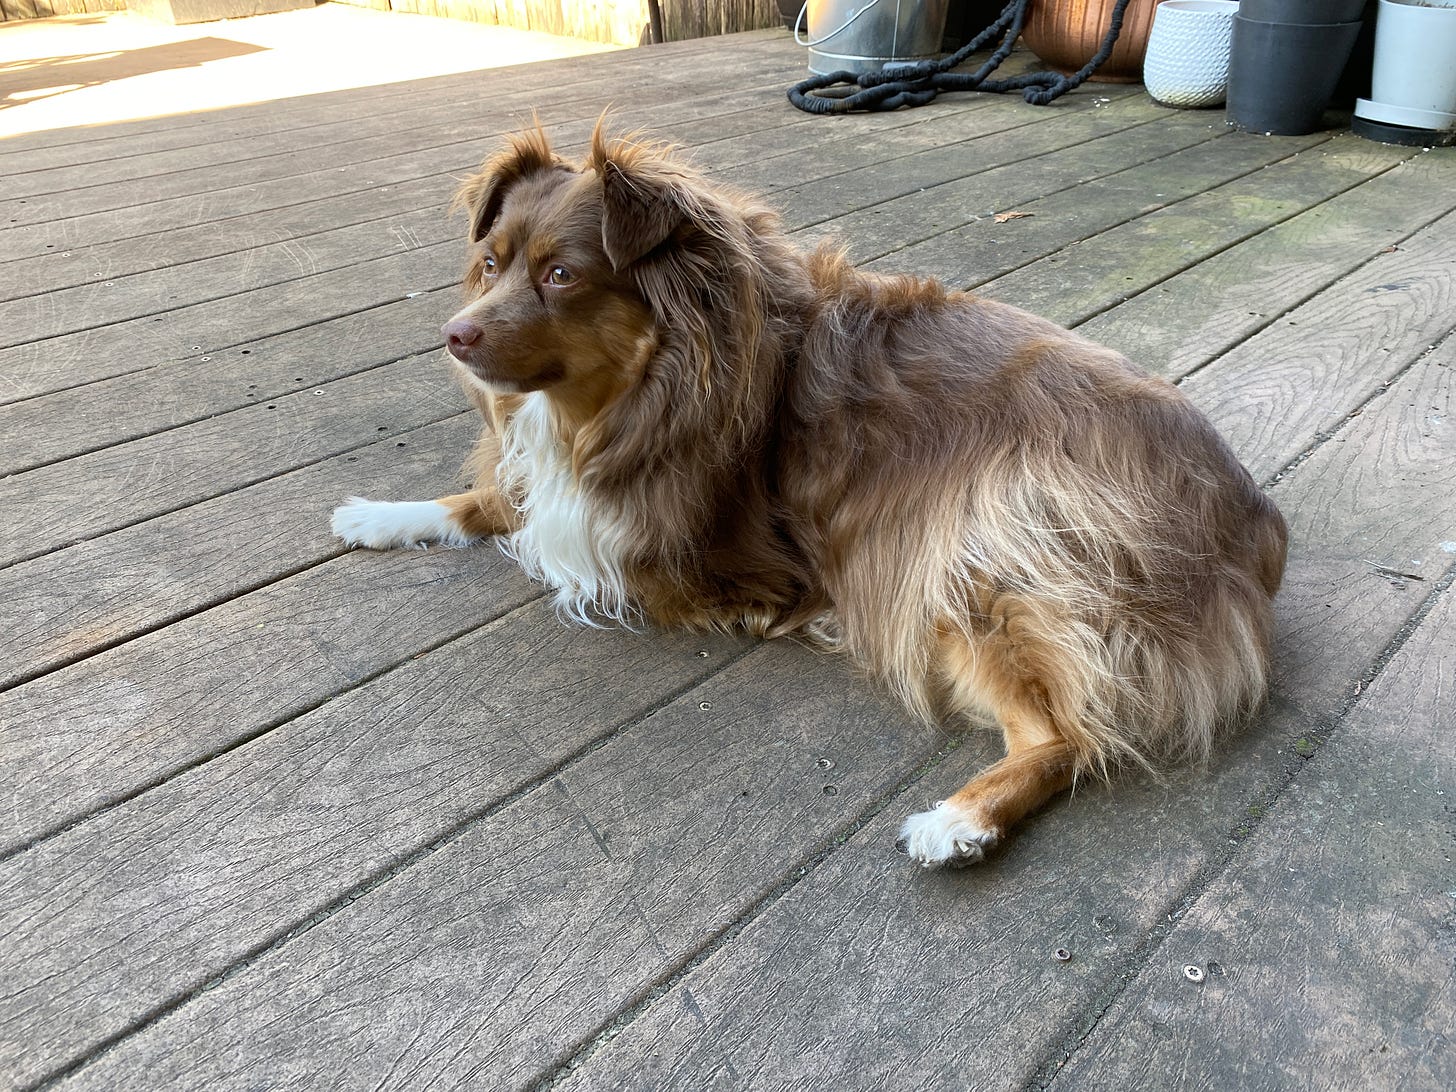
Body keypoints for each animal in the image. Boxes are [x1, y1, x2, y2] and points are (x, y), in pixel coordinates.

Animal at [333, 121, 1287, 873]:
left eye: (562, 274)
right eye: (489, 264)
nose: (454, 338)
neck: (646, 386)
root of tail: (1253, 518)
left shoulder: (697, 557)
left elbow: (562, 531)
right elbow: (496, 499)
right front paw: (380, 514)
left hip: (978, 551)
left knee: (1070, 735)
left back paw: (959, 821)